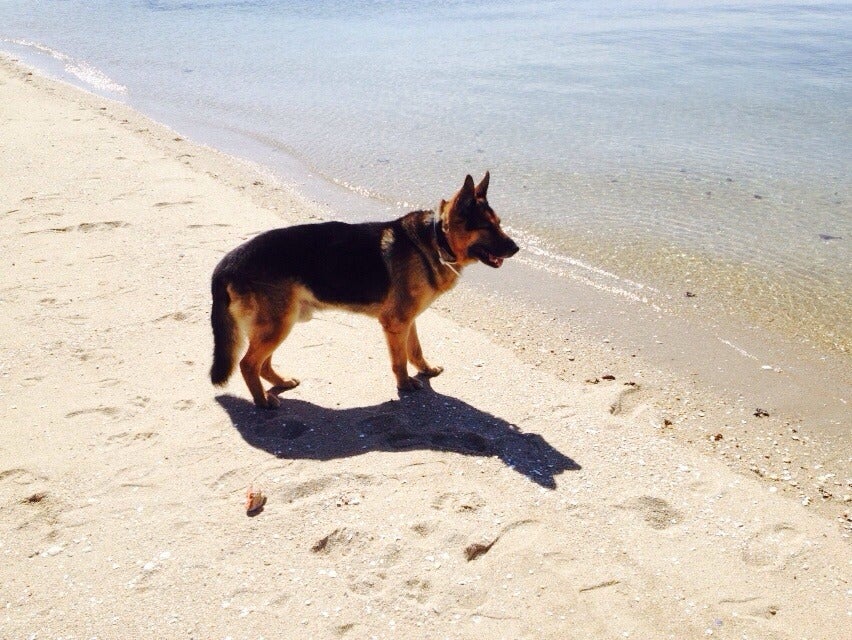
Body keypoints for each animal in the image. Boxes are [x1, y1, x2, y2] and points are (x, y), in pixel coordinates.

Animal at [213, 172, 520, 408]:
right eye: (486, 227)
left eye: (499, 224)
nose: (517, 248)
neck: (436, 239)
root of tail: (229, 261)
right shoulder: (395, 323)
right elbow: (399, 360)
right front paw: (405, 384)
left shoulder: (408, 321)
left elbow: (415, 350)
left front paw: (426, 370)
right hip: (278, 325)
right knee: (248, 364)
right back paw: (263, 402)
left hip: (278, 324)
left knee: (261, 364)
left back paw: (280, 383)